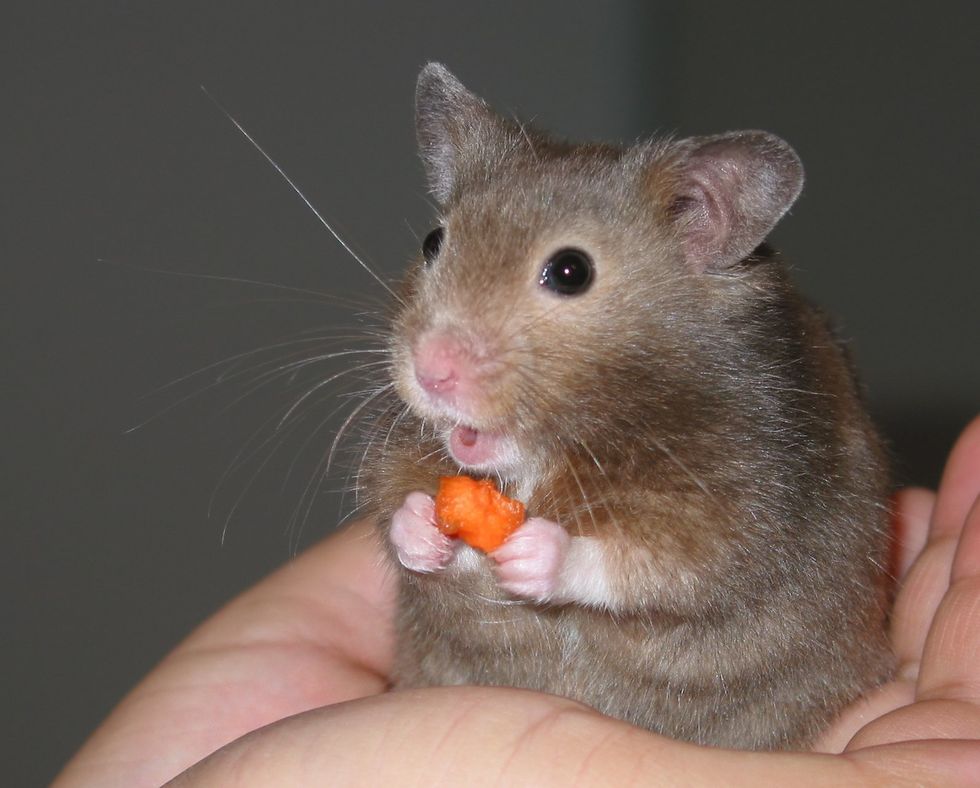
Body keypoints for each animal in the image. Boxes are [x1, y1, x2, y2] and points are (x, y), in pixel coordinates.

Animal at [360, 63, 894, 750]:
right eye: (433, 240)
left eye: (570, 271)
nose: (430, 371)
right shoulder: (395, 450)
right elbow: (390, 501)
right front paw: (426, 528)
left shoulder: (741, 501)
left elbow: (659, 564)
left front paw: (531, 553)